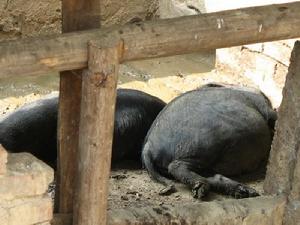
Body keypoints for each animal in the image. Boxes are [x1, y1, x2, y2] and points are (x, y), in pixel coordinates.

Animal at [142, 83, 278, 200]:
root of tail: (148, 146)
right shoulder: (265, 107)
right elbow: (274, 116)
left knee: (212, 176)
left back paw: (245, 192)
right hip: (203, 146)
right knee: (176, 166)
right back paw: (202, 188)